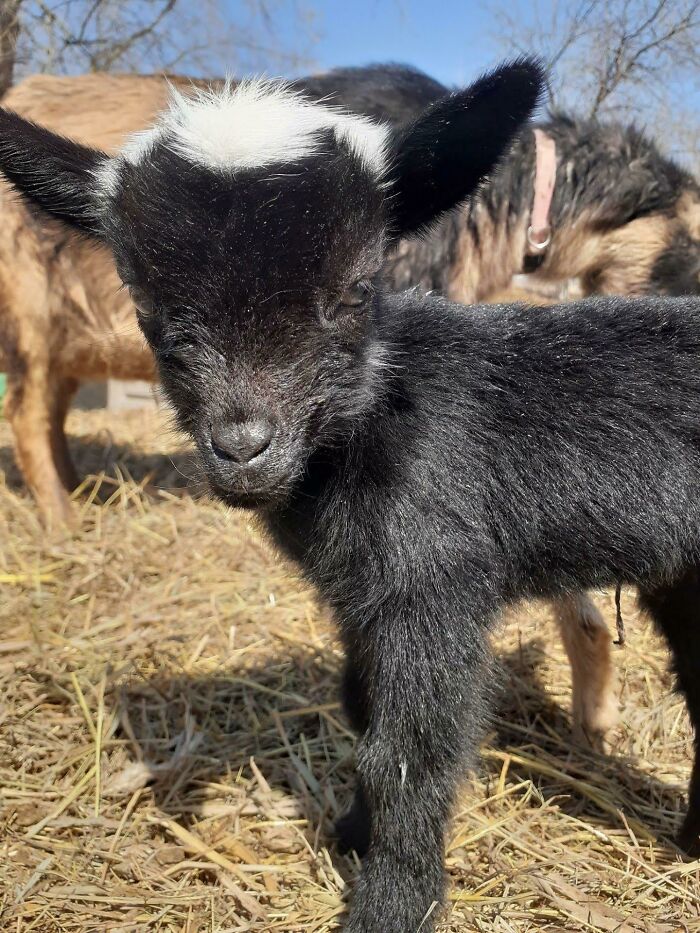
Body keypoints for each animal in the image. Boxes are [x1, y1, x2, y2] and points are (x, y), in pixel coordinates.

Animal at [2, 61, 700, 931]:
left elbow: (407, 751)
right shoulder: (361, 599)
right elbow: (360, 705)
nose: (243, 446)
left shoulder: (433, 584)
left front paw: (390, 901)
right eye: (148, 307)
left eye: (355, 290)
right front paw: (350, 834)